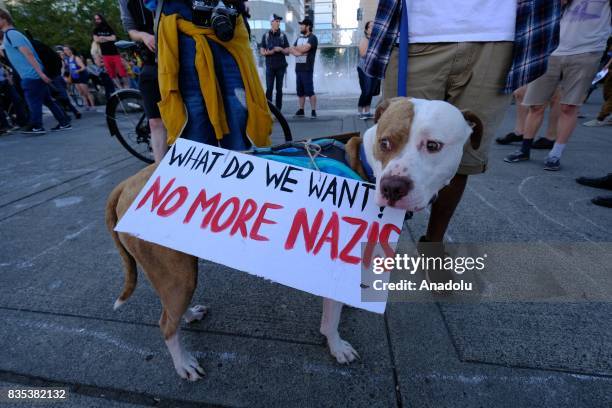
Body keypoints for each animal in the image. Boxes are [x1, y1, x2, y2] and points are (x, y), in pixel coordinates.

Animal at [106, 97, 482, 380]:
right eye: (385, 142)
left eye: (433, 146)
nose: (393, 186)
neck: (364, 165)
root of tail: (127, 182)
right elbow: (330, 320)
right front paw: (336, 345)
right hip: (177, 272)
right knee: (165, 324)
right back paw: (183, 363)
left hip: (175, 270)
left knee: (170, 308)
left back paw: (189, 316)